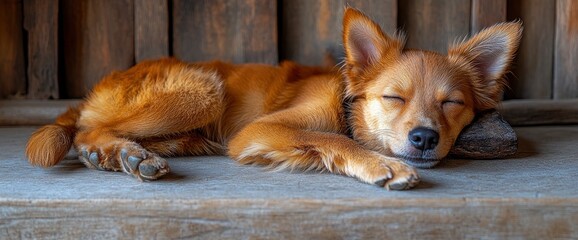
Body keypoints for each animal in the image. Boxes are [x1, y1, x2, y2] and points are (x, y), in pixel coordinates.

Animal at [27, 8, 520, 190]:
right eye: (394, 97)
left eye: (452, 104)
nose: (424, 139)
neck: (346, 108)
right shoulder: (256, 131)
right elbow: (335, 140)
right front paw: (380, 163)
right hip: (203, 89)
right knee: (88, 129)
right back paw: (118, 153)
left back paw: (128, 155)